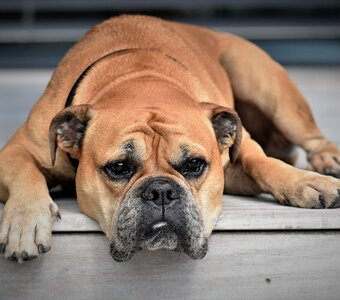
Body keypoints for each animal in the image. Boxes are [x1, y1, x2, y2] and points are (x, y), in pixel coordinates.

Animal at [0, 15, 340, 262]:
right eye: (119, 168)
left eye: (194, 165)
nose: (161, 191)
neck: (140, 78)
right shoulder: (16, 150)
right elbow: (25, 171)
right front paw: (25, 220)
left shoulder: (239, 158)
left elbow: (263, 163)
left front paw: (305, 182)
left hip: (267, 87)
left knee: (309, 136)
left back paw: (326, 161)